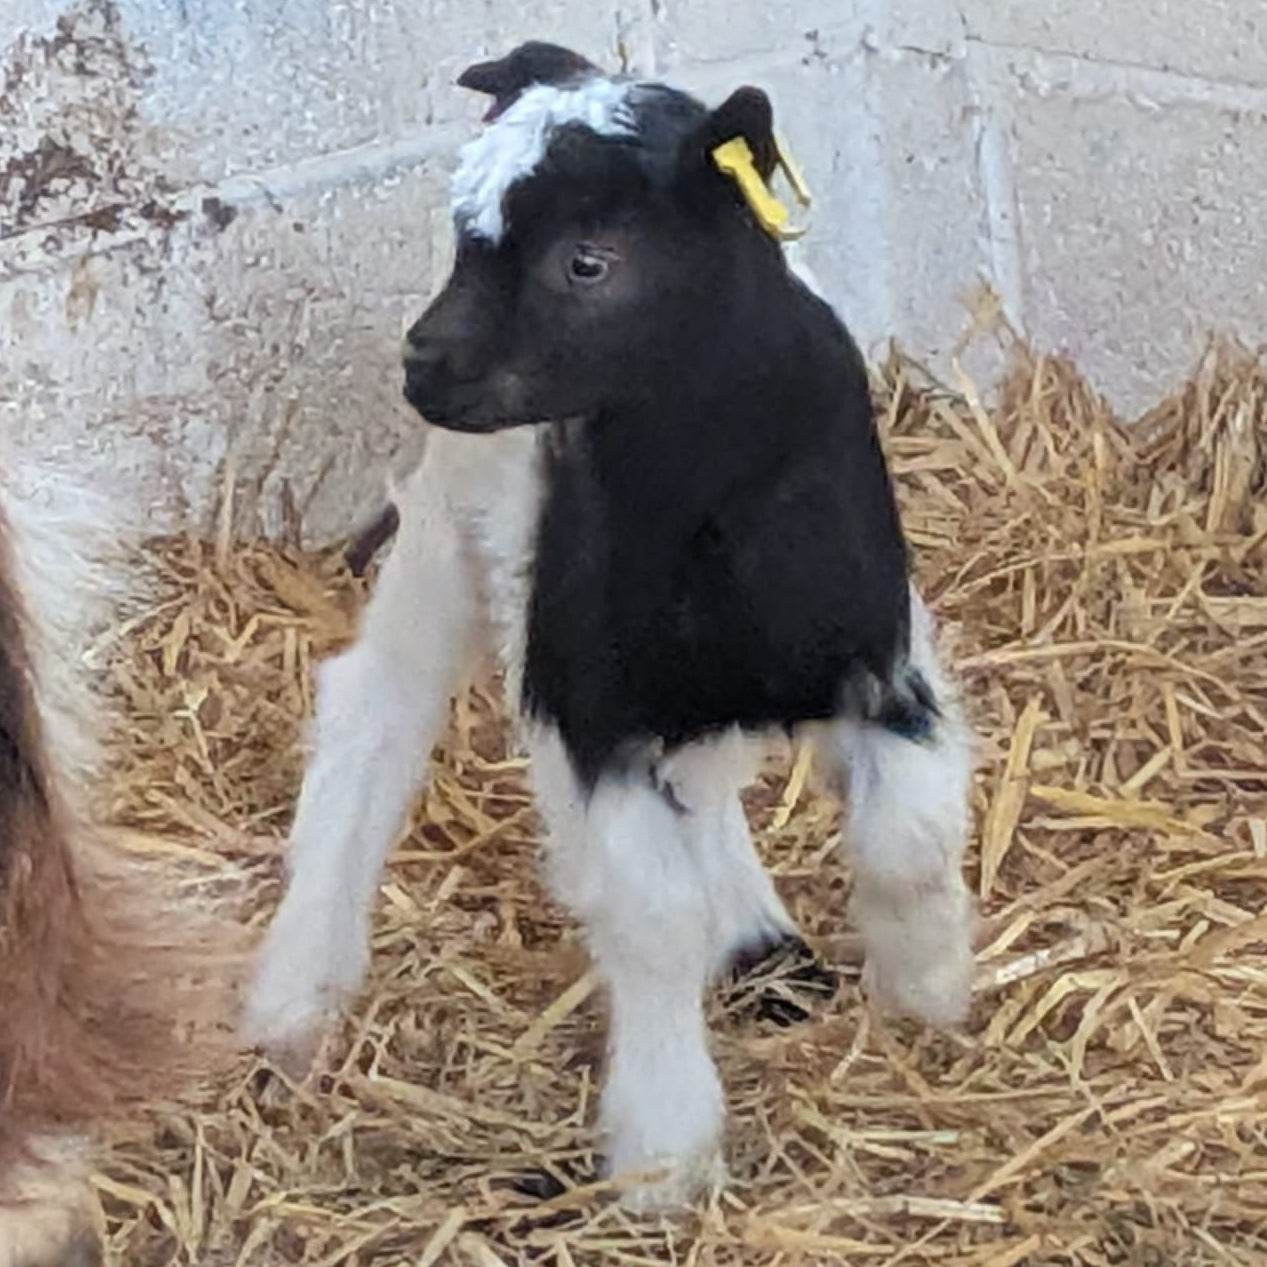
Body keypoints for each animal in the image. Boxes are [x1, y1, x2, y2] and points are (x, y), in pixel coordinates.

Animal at [246, 43, 976, 1210]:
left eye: (588, 263)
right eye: (462, 232)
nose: (421, 362)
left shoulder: (879, 657)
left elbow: (909, 836)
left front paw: (928, 982)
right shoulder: (589, 706)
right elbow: (648, 916)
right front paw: (663, 1155)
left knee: (708, 780)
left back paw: (760, 935)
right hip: (456, 533)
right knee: (375, 714)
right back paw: (296, 998)